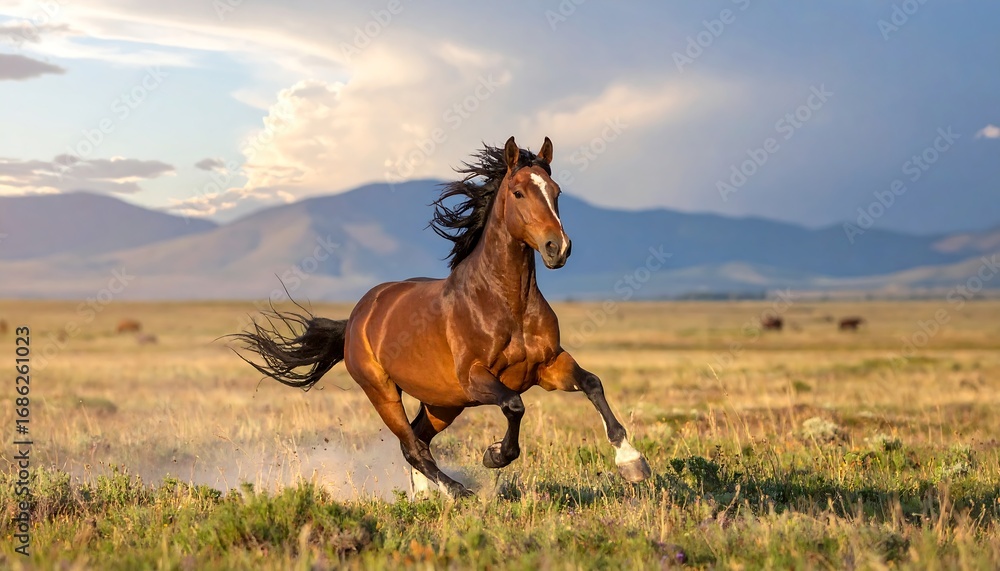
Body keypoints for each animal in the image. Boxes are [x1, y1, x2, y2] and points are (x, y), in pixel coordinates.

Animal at [233, 136, 651, 498]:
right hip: (383, 391)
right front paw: (494, 454)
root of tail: (356, 317)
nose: (557, 248)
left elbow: (593, 383)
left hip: (442, 403)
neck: (507, 305)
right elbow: (514, 405)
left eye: (557, 192)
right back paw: (458, 493)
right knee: (413, 447)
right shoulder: (476, 378)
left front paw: (632, 462)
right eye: (518, 192)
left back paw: (426, 496)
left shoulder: (547, 366)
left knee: (420, 439)